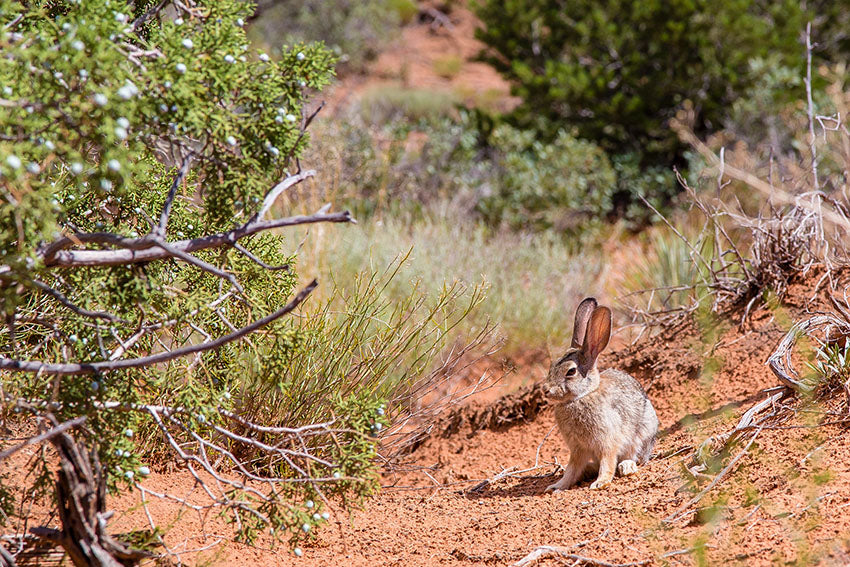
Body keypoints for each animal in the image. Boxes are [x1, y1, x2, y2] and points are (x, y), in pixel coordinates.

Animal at [544, 300, 656, 490]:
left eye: (571, 371)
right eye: (552, 367)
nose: (546, 390)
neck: (581, 397)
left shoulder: (607, 440)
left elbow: (607, 461)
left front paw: (601, 483)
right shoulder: (577, 448)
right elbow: (571, 469)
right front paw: (556, 486)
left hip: (643, 434)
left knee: (635, 457)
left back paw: (626, 467)